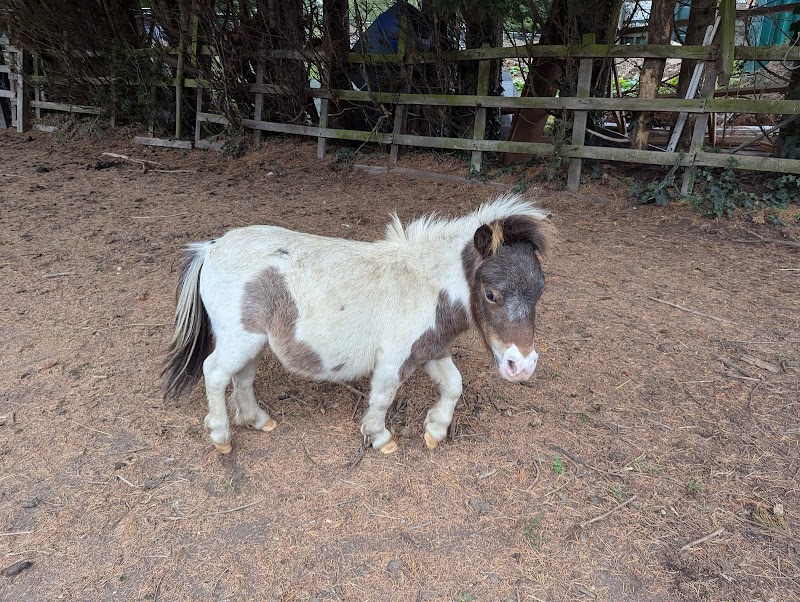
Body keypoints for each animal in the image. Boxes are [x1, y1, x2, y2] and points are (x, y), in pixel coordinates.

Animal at [162, 193, 554, 455]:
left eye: (540, 290)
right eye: (490, 294)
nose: (522, 366)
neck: (427, 285)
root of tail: (210, 247)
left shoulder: (430, 349)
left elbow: (454, 386)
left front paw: (435, 430)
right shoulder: (394, 360)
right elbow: (382, 397)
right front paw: (380, 438)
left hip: (254, 342)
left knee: (241, 377)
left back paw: (258, 419)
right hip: (238, 341)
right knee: (214, 373)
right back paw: (222, 437)